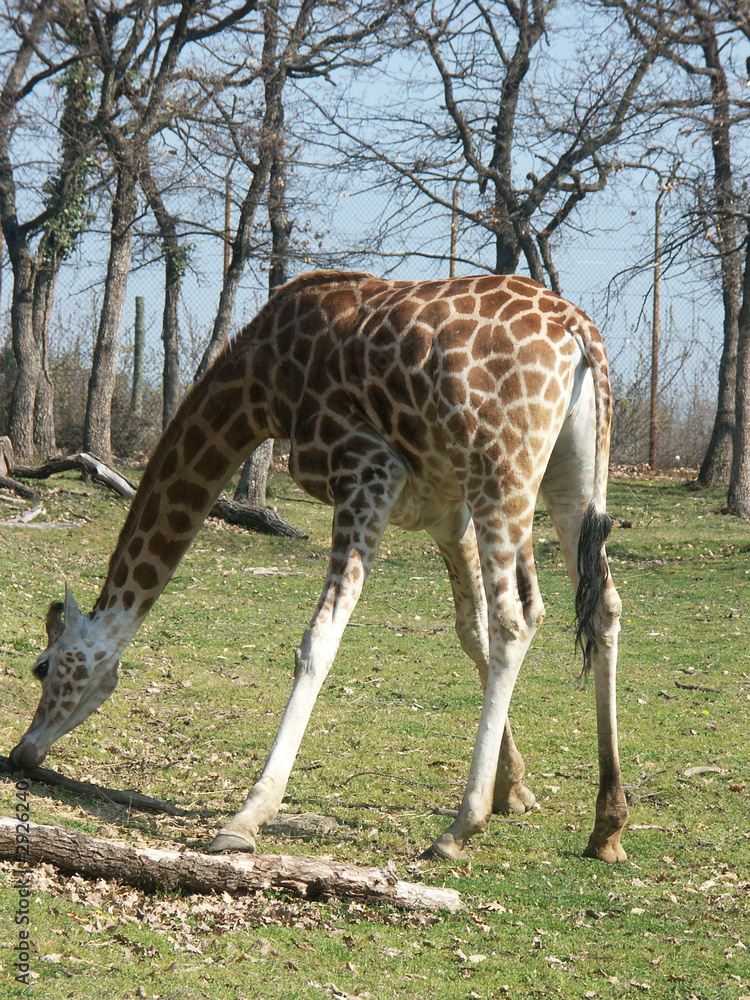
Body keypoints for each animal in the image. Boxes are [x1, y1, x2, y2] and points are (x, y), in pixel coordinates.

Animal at [10, 270, 627, 863]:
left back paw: (459, 828)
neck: (261, 384)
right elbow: (468, 632)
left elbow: (319, 639)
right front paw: (515, 788)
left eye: (42, 667)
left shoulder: (365, 471)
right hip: (568, 481)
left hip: (500, 473)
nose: (21, 751)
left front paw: (246, 820)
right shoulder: (442, 512)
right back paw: (608, 825)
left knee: (514, 622)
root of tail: (581, 333)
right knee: (600, 608)